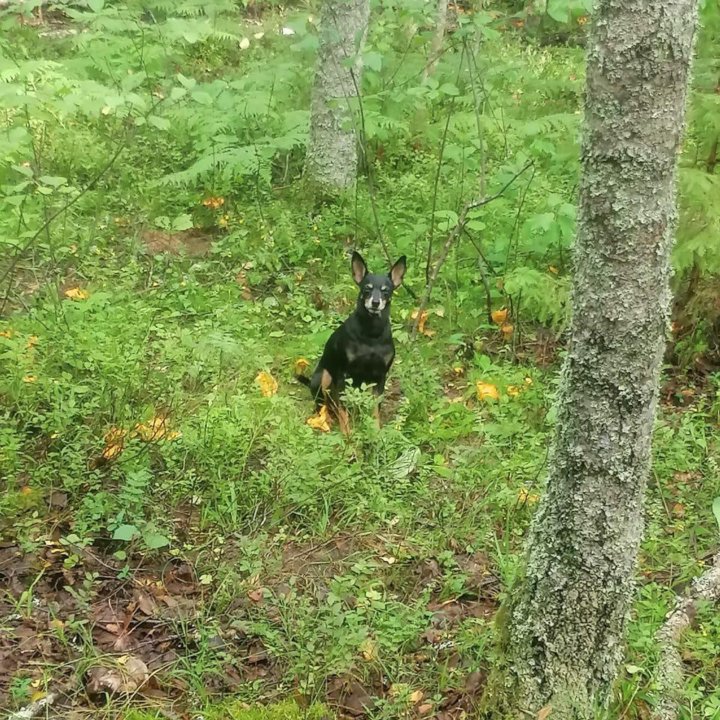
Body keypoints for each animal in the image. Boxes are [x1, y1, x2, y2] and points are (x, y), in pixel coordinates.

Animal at [296, 250, 404, 430]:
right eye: (367, 289)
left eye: (386, 291)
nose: (375, 302)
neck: (371, 334)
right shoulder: (343, 375)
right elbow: (343, 411)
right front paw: (347, 434)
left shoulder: (380, 376)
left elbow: (375, 409)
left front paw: (375, 431)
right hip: (324, 376)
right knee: (323, 405)